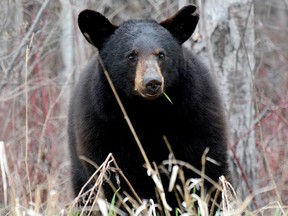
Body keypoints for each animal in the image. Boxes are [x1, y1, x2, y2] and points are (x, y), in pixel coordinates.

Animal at [68, 4, 230, 212]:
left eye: (161, 54)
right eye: (131, 56)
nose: (152, 82)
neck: (148, 113)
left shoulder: (195, 117)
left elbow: (203, 171)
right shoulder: (103, 127)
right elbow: (116, 184)